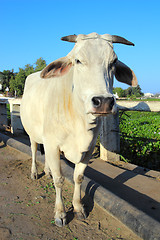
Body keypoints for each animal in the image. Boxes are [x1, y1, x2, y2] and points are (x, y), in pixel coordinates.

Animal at [20, 31, 138, 227]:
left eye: (113, 61)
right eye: (78, 61)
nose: (103, 101)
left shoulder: (87, 149)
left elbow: (78, 177)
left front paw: (78, 207)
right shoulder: (53, 144)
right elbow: (59, 179)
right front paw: (60, 213)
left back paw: (47, 171)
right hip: (33, 134)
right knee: (35, 150)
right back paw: (35, 172)